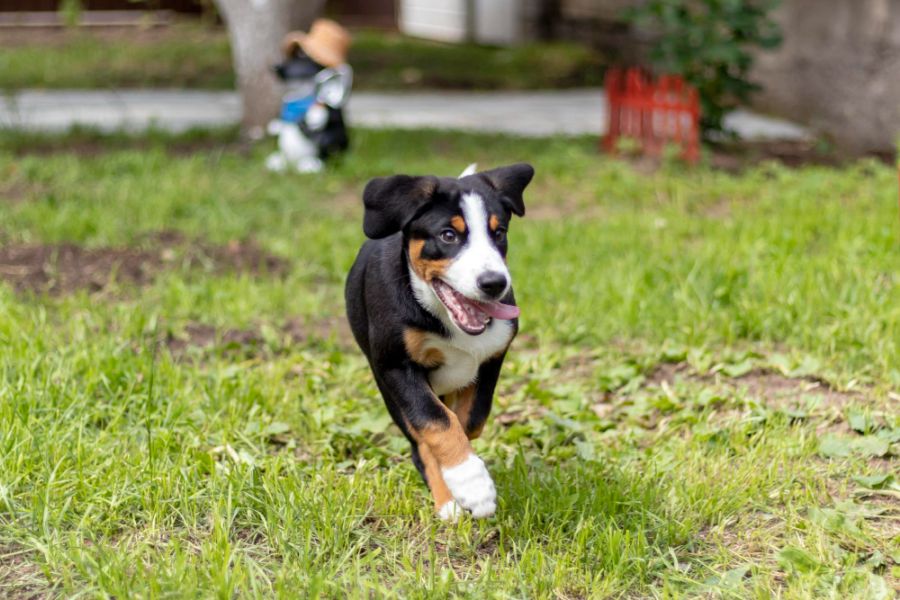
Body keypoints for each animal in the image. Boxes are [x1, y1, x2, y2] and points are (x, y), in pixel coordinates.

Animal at [346, 162, 536, 516]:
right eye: (449, 235)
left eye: (499, 233)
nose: (494, 283)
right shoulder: (395, 365)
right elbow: (435, 422)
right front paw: (469, 482)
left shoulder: (491, 358)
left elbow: (470, 420)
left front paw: (464, 473)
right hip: (386, 387)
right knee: (418, 440)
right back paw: (448, 501)